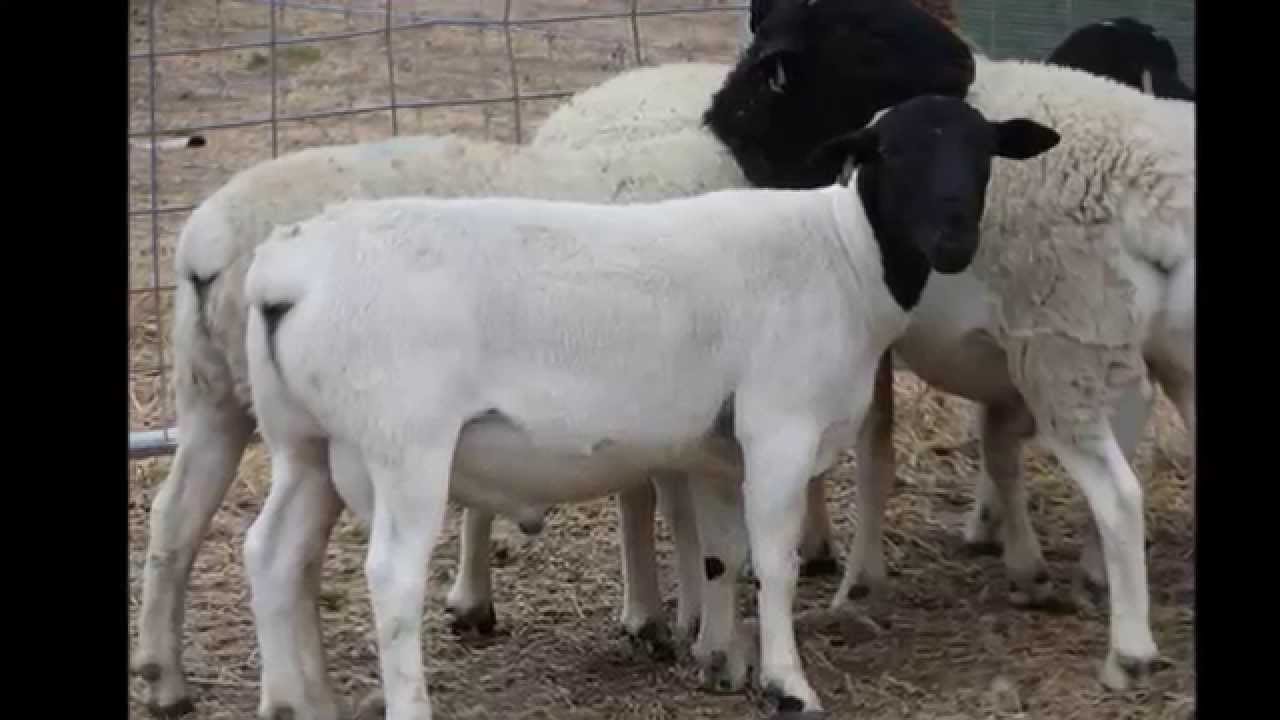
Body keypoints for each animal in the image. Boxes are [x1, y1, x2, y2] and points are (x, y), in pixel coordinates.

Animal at [132, 89, 745, 715]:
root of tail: (208, 244)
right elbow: (687, 515)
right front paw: (694, 627)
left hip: (222, 404)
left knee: (194, 522)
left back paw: (185, 680)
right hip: (367, 435)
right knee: (337, 564)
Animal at [239, 94, 1060, 719]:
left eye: (983, 155)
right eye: (890, 155)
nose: (953, 241)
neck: (844, 255)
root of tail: (286, 273)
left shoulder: (722, 449)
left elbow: (724, 554)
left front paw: (721, 664)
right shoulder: (779, 427)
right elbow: (776, 564)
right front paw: (787, 685)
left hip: (305, 445)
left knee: (273, 553)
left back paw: (290, 704)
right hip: (404, 445)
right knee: (389, 577)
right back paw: (407, 706)